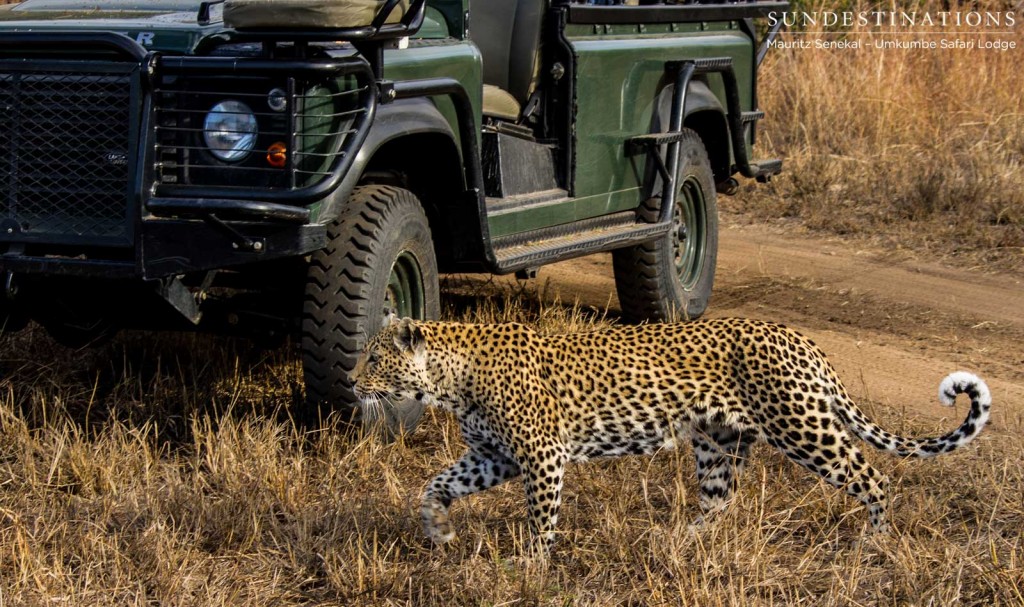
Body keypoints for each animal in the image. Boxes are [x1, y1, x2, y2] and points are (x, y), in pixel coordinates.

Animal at [352, 317, 991, 552]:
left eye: (376, 359)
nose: (353, 381)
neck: (451, 380)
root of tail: (800, 337)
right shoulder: (493, 457)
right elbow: (433, 486)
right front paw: (438, 532)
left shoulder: (540, 456)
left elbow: (540, 518)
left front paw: (530, 566)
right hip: (717, 442)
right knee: (719, 501)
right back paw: (678, 541)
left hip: (801, 425)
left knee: (872, 476)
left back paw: (874, 543)